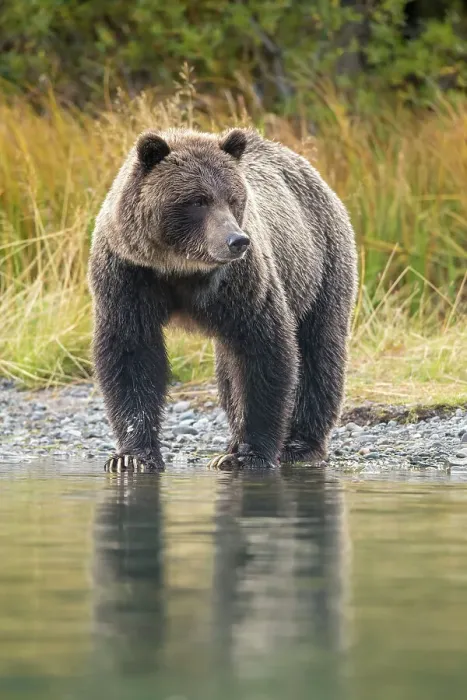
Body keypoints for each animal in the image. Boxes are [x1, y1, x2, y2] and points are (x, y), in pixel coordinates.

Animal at [88, 127, 357, 471]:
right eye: (197, 200)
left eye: (233, 198)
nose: (237, 240)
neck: (181, 269)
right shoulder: (129, 275)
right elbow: (131, 353)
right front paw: (132, 457)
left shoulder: (241, 282)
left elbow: (263, 350)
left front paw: (249, 454)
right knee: (230, 370)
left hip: (321, 265)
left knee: (319, 351)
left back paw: (299, 445)